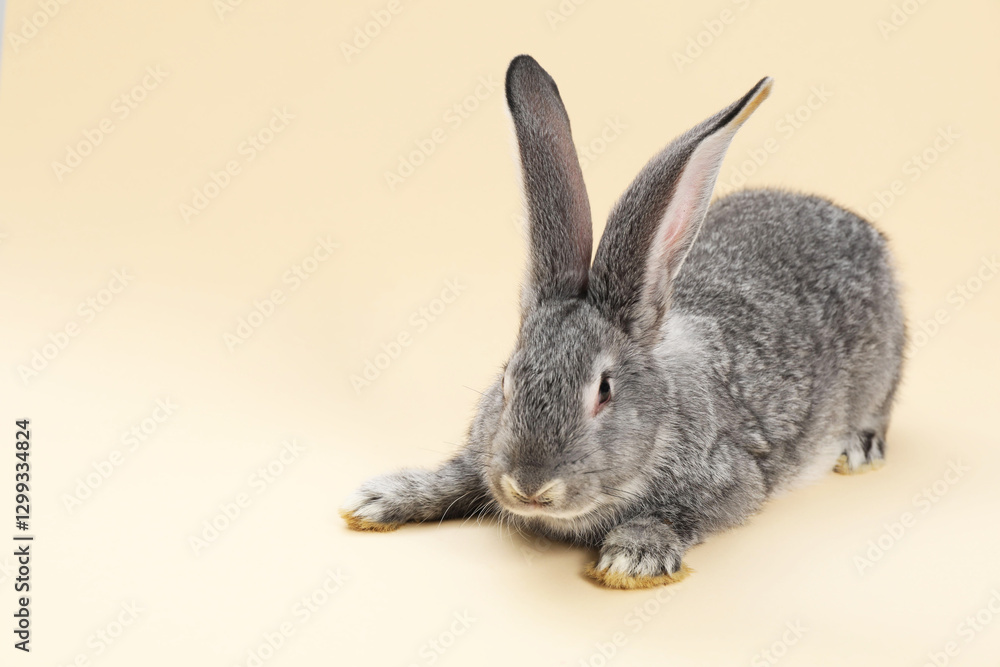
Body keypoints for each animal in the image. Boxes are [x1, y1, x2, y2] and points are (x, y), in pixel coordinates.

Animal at [341, 55, 905, 589]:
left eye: (604, 391)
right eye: (505, 382)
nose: (530, 486)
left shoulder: (734, 479)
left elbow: (680, 514)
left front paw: (633, 557)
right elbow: (459, 477)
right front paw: (380, 500)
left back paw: (859, 449)